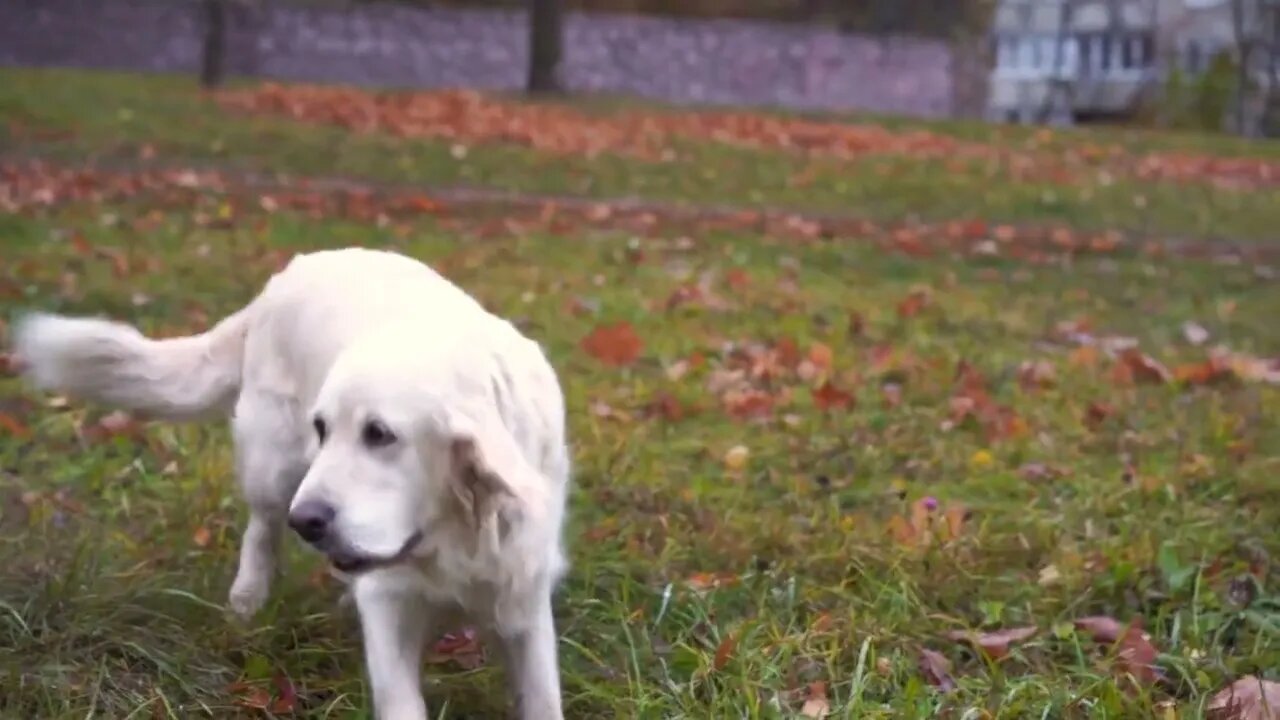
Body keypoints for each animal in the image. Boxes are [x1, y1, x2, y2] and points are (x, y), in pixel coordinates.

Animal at [11, 245, 570, 717]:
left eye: (379, 434)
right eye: (322, 428)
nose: (309, 522)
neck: (456, 530)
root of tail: (290, 271)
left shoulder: (523, 597)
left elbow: (542, 698)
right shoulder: (390, 602)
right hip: (273, 468)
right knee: (260, 530)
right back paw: (247, 601)